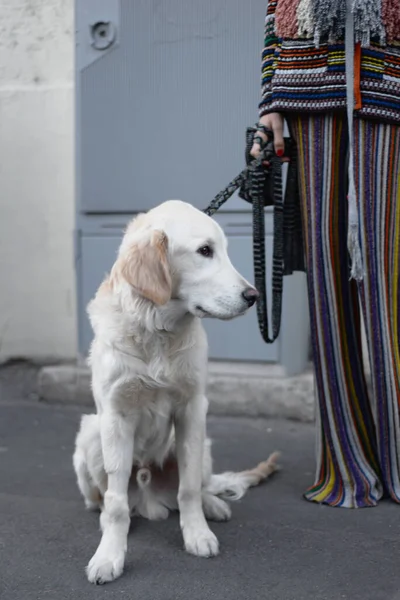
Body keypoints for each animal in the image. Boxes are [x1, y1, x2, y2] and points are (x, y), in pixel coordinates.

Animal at [72, 199, 278, 584]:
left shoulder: (193, 410)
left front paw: (197, 534)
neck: (157, 332)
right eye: (205, 251)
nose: (254, 296)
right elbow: (117, 504)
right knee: (104, 499)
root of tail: (150, 498)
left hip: (204, 444)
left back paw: (213, 504)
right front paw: (109, 555)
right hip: (90, 435)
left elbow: (189, 488)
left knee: (200, 484)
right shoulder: (115, 416)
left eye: (224, 249)